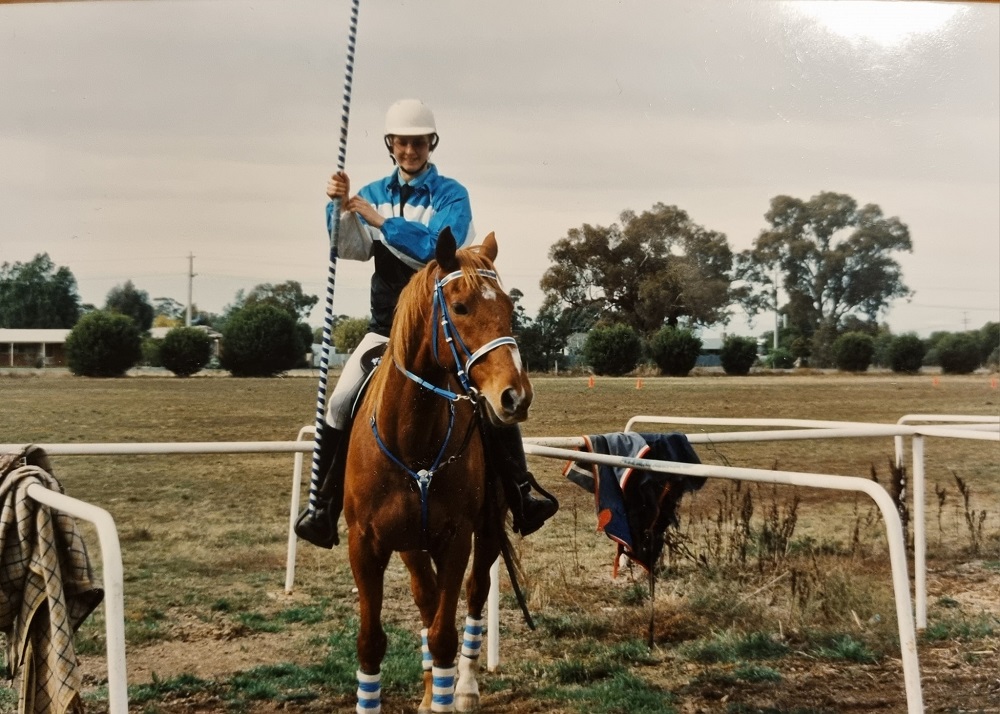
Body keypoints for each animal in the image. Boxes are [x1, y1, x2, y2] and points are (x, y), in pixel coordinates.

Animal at [344, 229, 532, 712]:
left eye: (509, 309)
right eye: (461, 306)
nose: (515, 396)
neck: (413, 440)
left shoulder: (456, 538)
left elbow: (445, 635)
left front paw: (450, 691)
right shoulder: (366, 544)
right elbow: (372, 642)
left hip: (485, 531)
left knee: (473, 596)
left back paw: (463, 687)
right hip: (412, 542)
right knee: (426, 601)